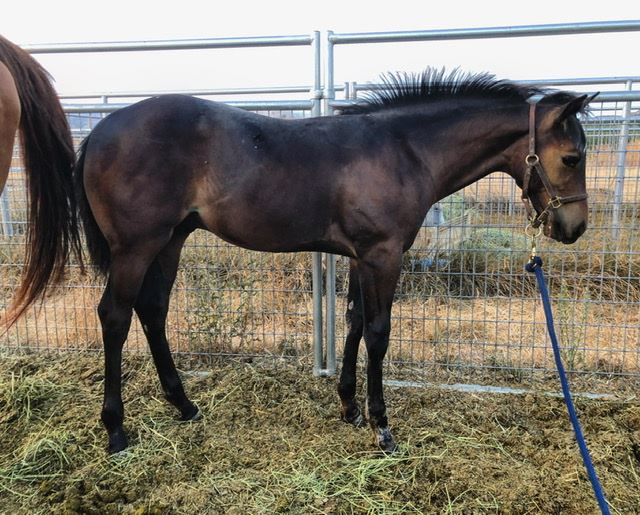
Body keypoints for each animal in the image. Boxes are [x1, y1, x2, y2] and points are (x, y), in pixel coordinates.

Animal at [50, 69, 596, 456]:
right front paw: (381, 427)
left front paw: (349, 406)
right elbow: (378, 332)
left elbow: (353, 321)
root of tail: (99, 132)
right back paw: (116, 430)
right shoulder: (383, 255)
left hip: (170, 241)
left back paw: (184, 405)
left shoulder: (361, 256)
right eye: (571, 157)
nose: (574, 228)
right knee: (115, 316)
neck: (403, 150)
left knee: (153, 311)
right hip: (136, 247)